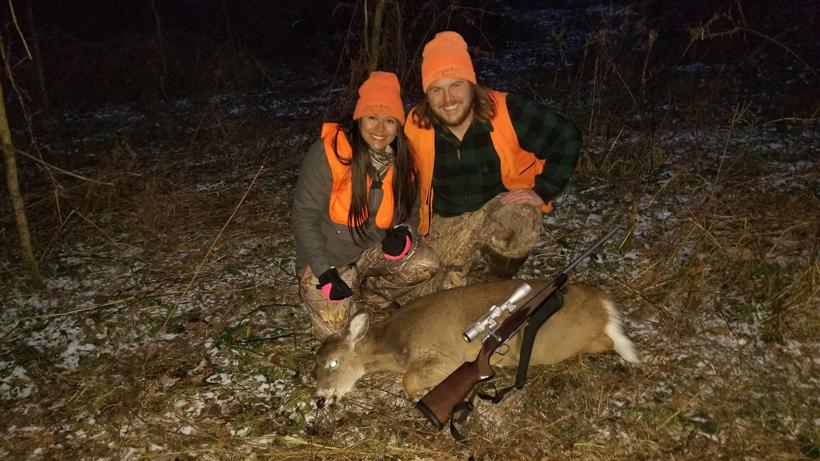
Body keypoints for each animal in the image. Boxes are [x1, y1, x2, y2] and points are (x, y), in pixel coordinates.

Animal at [313, 280, 640, 407]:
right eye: (314, 368)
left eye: (333, 362)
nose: (319, 399)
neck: (396, 345)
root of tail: (602, 301)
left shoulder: (445, 359)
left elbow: (409, 380)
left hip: (556, 343)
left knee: (606, 340)